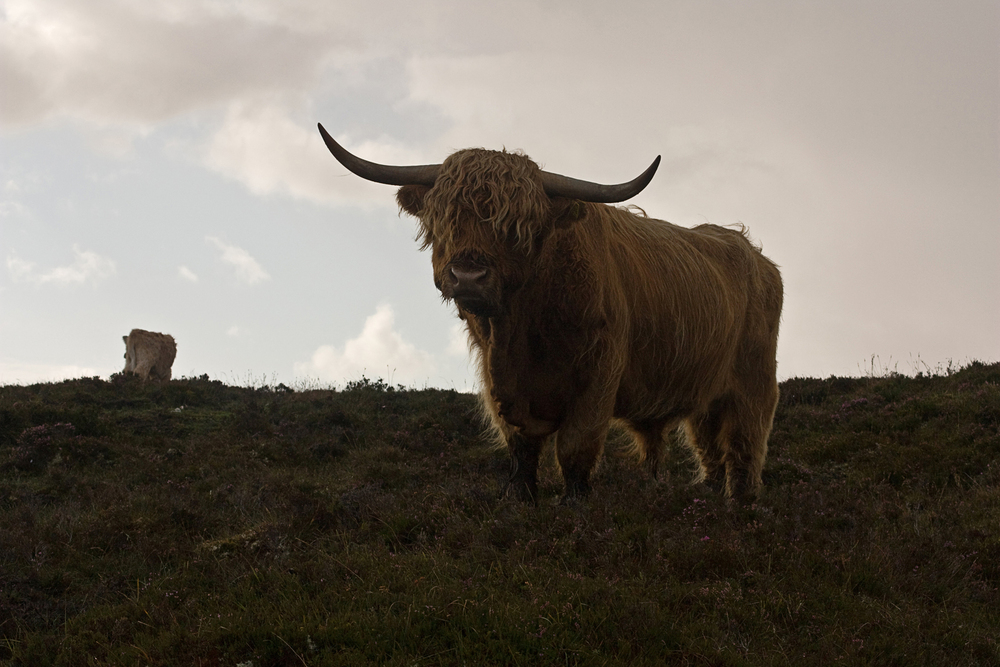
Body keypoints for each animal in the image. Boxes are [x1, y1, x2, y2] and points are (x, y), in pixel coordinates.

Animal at [318, 122, 780, 504]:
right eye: (445, 220)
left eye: (518, 227)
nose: (468, 276)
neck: (521, 330)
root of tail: (753, 254)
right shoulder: (499, 381)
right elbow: (521, 447)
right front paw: (519, 498)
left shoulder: (599, 375)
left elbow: (576, 446)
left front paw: (574, 503)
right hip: (707, 396)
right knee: (710, 448)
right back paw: (709, 498)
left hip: (753, 382)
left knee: (745, 443)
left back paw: (741, 504)